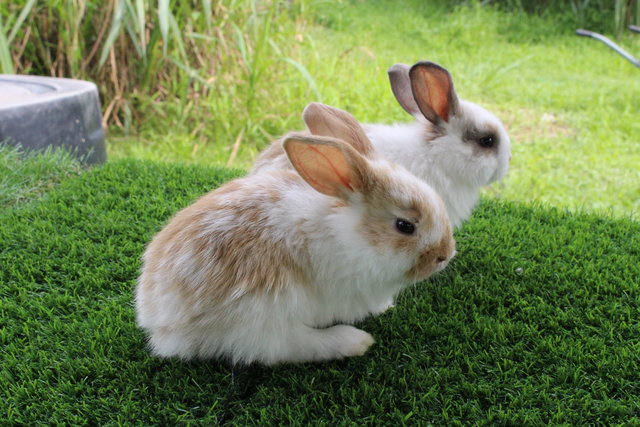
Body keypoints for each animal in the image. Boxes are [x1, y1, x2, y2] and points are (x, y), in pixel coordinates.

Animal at [135, 103, 456, 364]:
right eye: (405, 226)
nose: (445, 255)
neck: (350, 234)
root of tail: (156, 316)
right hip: (263, 316)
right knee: (288, 347)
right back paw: (354, 341)